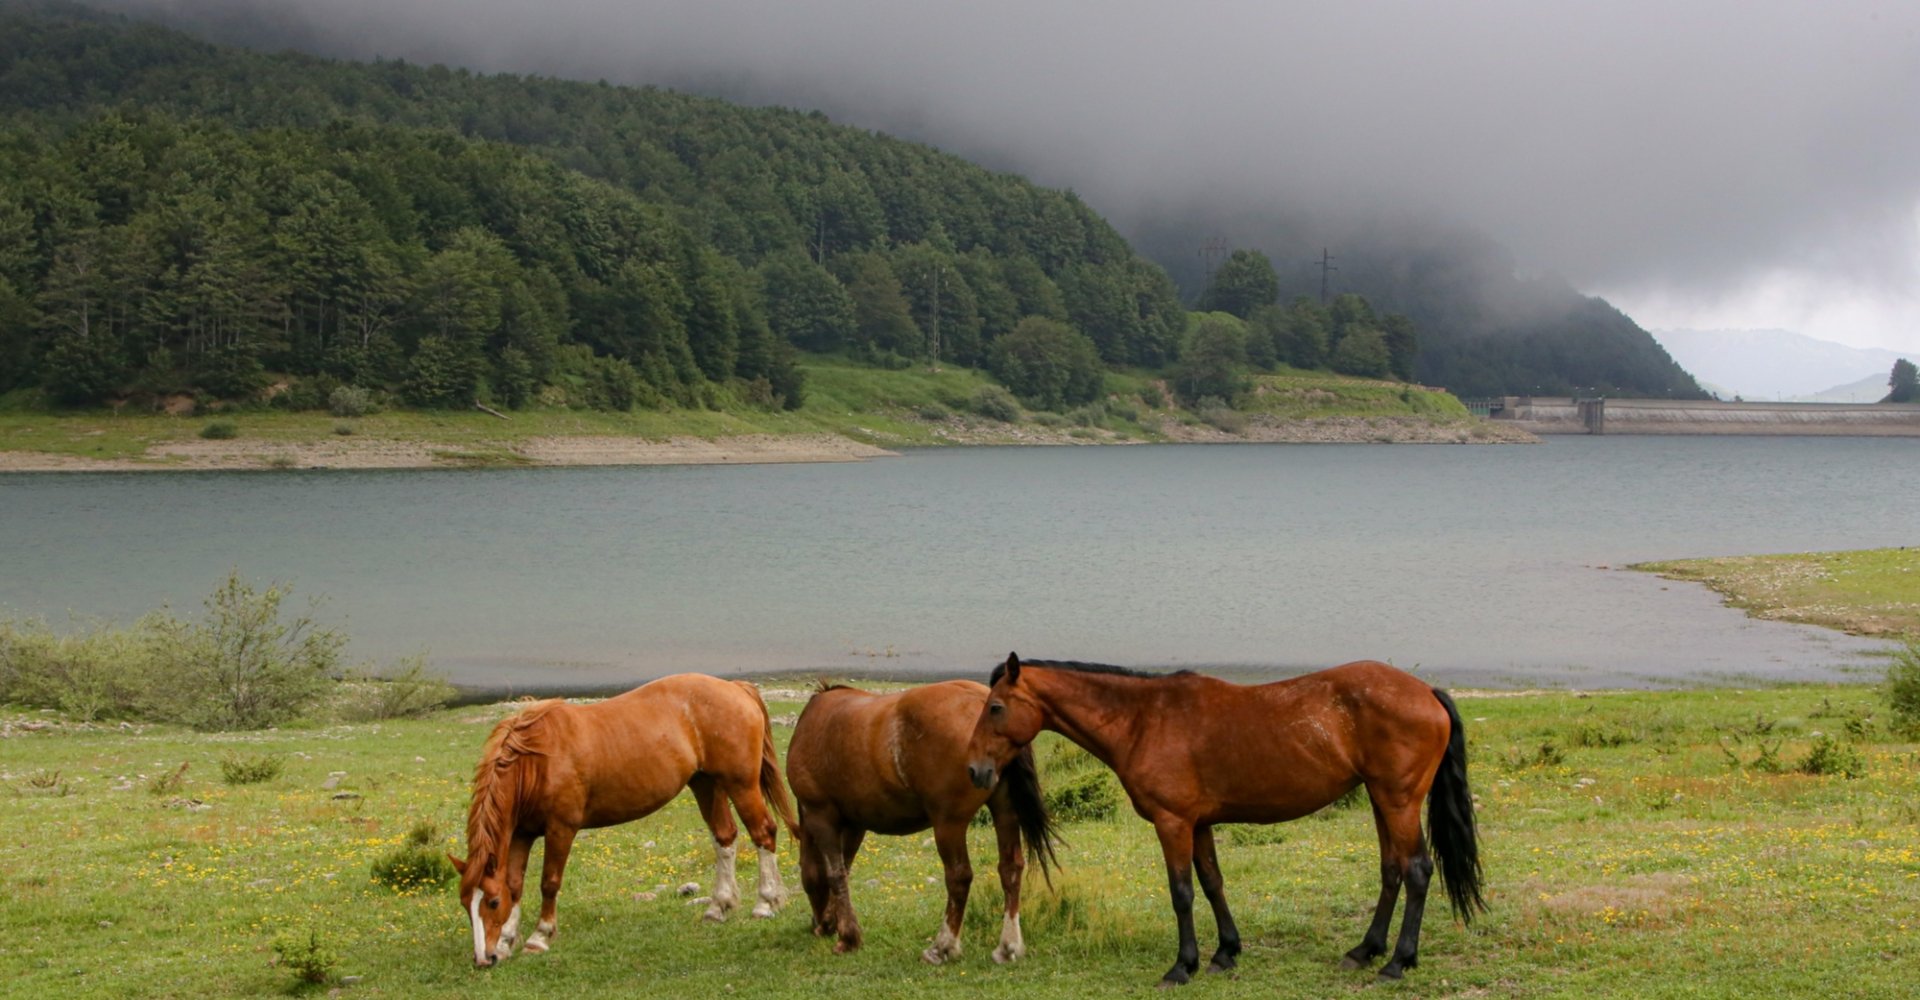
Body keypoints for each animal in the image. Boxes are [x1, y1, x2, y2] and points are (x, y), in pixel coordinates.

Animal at [449, 675, 794, 963]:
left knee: (763, 833)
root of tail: (736, 687)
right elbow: (515, 883)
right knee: (725, 837)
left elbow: (549, 882)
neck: (536, 760)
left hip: (741, 785)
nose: (484, 958)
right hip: (706, 784)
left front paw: (539, 937)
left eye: (492, 903)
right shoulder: (522, 832)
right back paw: (718, 907)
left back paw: (765, 904)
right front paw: (507, 940)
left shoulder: (561, 828)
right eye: (466, 903)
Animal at [791, 683, 1075, 963]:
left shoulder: (820, 814)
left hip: (949, 823)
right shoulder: (854, 824)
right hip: (1005, 811)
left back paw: (943, 946)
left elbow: (835, 873)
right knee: (1010, 869)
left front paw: (847, 937)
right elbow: (845, 868)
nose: (818, 924)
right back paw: (1009, 945)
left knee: (959, 877)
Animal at [960, 652, 1482, 982]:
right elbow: (1212, 883)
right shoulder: (1199, 823)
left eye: (996, 707)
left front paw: (1182, 966)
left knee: (1417, 871)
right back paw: (1365, 951)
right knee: (1392, 871)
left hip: (1398, 801)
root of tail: (1426, 692)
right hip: (1380, 800)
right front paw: (1225, 952)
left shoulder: (1173, 822)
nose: (975, 770)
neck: (1143, 720)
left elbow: (1182, 893)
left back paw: (1398, 962)